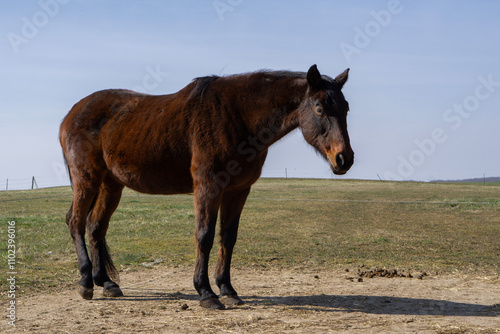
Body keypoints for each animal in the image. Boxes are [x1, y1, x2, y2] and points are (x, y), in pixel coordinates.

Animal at [60, 64, 354, 310]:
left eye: (346, 108)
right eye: (319, 108)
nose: (344, 159)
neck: (237, 117)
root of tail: (72, 113)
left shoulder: (238, 191)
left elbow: (228, 237)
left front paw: (228, 290)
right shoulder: (208, 187)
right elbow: (205, 236)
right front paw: (206, 293)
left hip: (111, 185)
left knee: (95, 227)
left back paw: (106, 282)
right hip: (87, 180)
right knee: (75, 221)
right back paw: (85, 282)